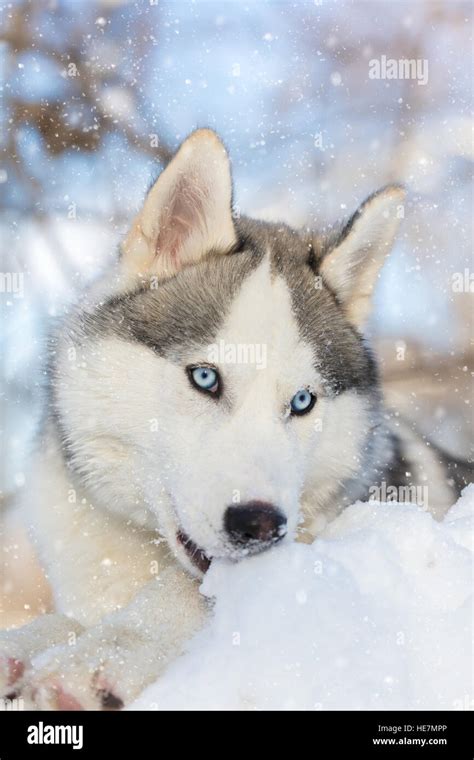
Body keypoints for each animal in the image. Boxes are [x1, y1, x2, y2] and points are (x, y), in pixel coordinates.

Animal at [0, 129, 470, 708]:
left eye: (302, 402)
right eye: (205, 378)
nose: (260, 524)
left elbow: (185, 592)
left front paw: (105, 652)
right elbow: (57, 622)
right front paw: (25, 645)